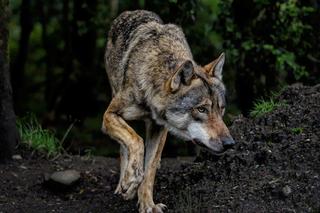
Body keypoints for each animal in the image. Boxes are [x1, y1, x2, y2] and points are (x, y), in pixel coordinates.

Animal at [102, 10, 235, 213]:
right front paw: (131, 179)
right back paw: (124, 184)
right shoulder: (109, 115)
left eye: (221, 109)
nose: (229, 143)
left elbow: (149, 170)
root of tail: (130, 12)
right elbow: (136, 141)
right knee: (123, 146)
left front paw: (148, 205)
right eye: (201, 109)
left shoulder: (159, 128)